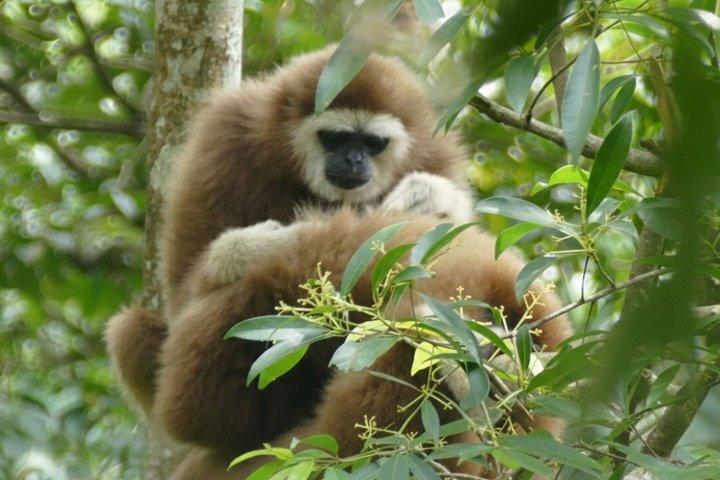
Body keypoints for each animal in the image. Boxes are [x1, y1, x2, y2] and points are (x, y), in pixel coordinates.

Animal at [105, 45, 474, 419]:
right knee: (130, 330)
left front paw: (426, 195)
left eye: (373, 143)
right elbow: (182, 293)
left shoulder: (435, 152)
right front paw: (263, 245)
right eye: (336, 138)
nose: (354, 160)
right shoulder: (222, 138)